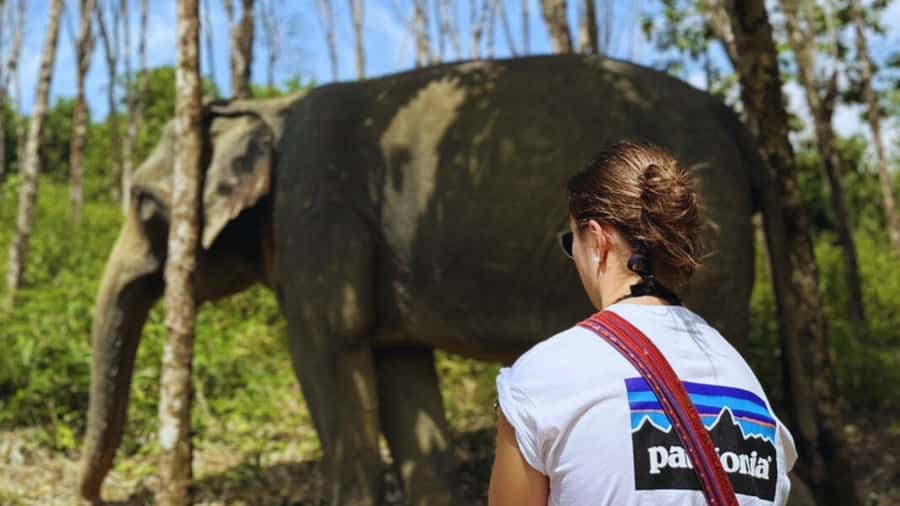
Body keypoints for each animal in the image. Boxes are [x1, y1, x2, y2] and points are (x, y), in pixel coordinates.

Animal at [80, 54, 767, 505]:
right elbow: (403, 375)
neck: (269, 111)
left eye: (143, 203)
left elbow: (329, 349)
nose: (91, 496)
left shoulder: (315, 212)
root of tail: (728, 113)